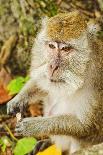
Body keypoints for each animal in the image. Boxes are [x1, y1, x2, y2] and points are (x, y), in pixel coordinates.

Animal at [7, 11, 103, 155]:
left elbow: (85, 126)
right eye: (51, 46)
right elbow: (42, 83)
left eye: (65, 49)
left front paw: (35, 126)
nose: (52, 66)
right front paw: (18, 99)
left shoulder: (96, 87)